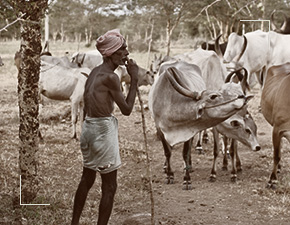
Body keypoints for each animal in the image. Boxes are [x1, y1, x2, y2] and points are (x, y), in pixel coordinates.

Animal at [148, 60, 250, 190]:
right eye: (213, 96)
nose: (242, 96)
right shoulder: (160, 129)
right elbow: (168, 152)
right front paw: (169, 175)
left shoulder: (188, 129)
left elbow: (185, 153)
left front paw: (187, 180)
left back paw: (189, 166)